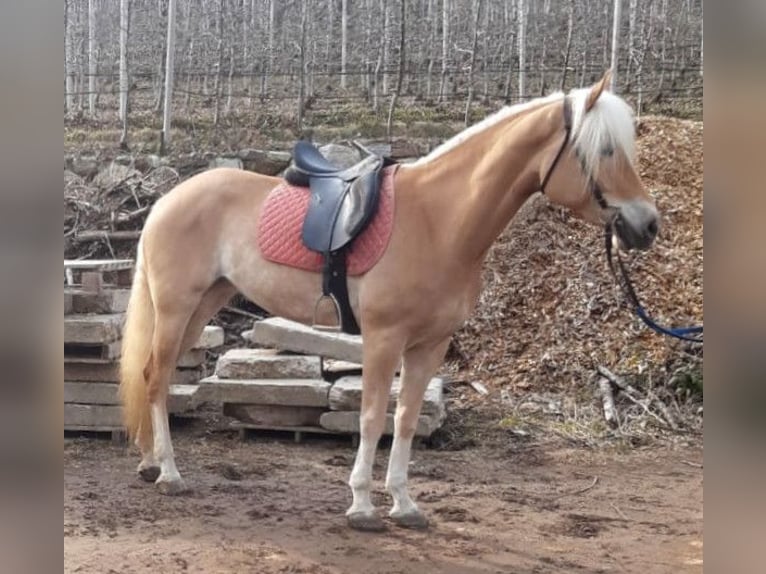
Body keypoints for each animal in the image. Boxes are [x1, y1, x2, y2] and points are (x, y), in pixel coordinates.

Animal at [120, 71, 660, 532]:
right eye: (606, 149)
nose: (648, 224)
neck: (439, 221)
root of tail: (167, 199)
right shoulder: (383, 339)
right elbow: (371, 416)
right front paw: (361, 505)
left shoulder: (429, 346)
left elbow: (405, 419)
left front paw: (403, 502)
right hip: (176, 308)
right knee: (158, 378)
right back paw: (170, 474)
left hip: (203, 306)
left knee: (153, 376)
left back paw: (149, 464)